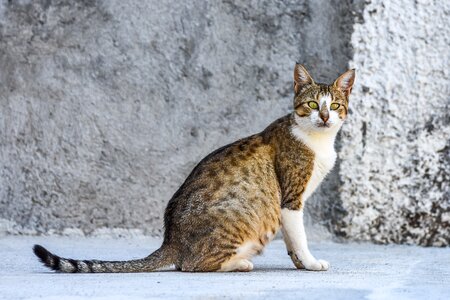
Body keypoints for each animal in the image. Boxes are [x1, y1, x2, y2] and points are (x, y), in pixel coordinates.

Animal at [33, 64, 356, 274]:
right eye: (312, 104)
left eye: (335, 106)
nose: (325, 117)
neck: (319, 142)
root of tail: (170, 240)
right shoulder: (290, 199)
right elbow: (299, 237)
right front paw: (311, 263)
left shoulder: (290, 203)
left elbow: (292, 241)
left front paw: (300, 265)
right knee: (190, 265)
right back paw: (240, 263)